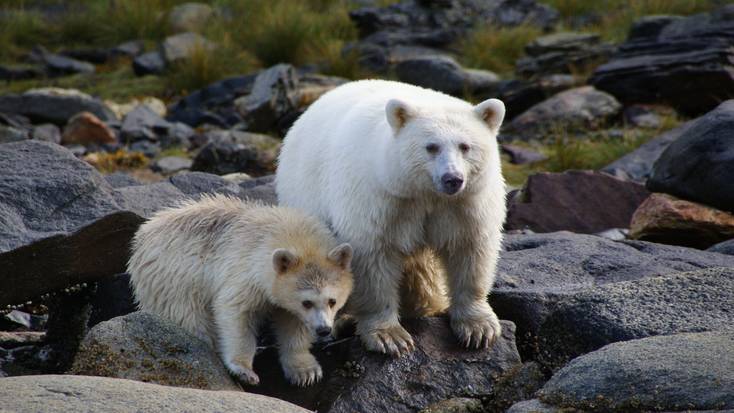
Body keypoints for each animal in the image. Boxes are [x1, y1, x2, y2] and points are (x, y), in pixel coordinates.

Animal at [276, 79, 506, 354]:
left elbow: (470, 250)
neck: (423, 193)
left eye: (465, 146)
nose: (453, 178)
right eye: (431, 147)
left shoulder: (464, 204)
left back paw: (427, 303)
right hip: (306, 196)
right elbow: (372, 256)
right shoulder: (380, 198)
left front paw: (478, 328)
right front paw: (389, 336)